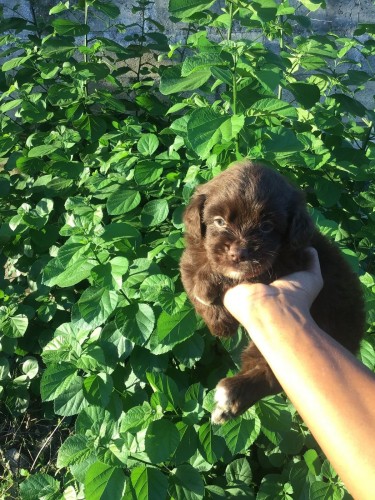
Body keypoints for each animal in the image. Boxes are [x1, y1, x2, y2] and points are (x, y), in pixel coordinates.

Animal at [181, 160, 366, 422]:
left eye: (267, 227)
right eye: (219, 221)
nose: (238, 253)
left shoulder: (287, 260)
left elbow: (235, 272)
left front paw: (208, 285)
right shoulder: (193, 251)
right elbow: (190, 268)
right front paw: (218, 322)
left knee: (273, 372)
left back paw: (230, 394)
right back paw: (228, 405)